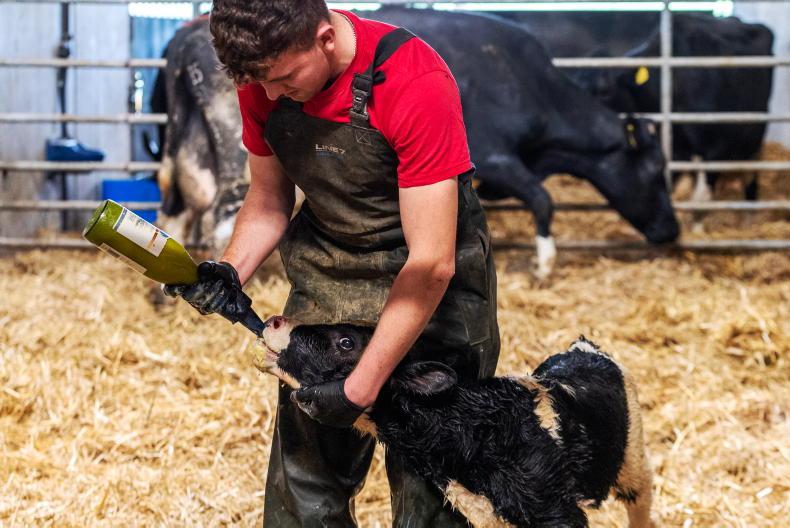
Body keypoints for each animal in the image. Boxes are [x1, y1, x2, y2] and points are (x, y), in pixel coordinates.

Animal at [151, 9, 679, 278]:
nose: (672, 231)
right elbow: (543, 198)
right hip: (235, 157)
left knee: (174, 208)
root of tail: (184, 40)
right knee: (221, 216)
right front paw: (545, 264)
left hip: (187, 147)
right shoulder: (495, 157)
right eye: (657, 171)